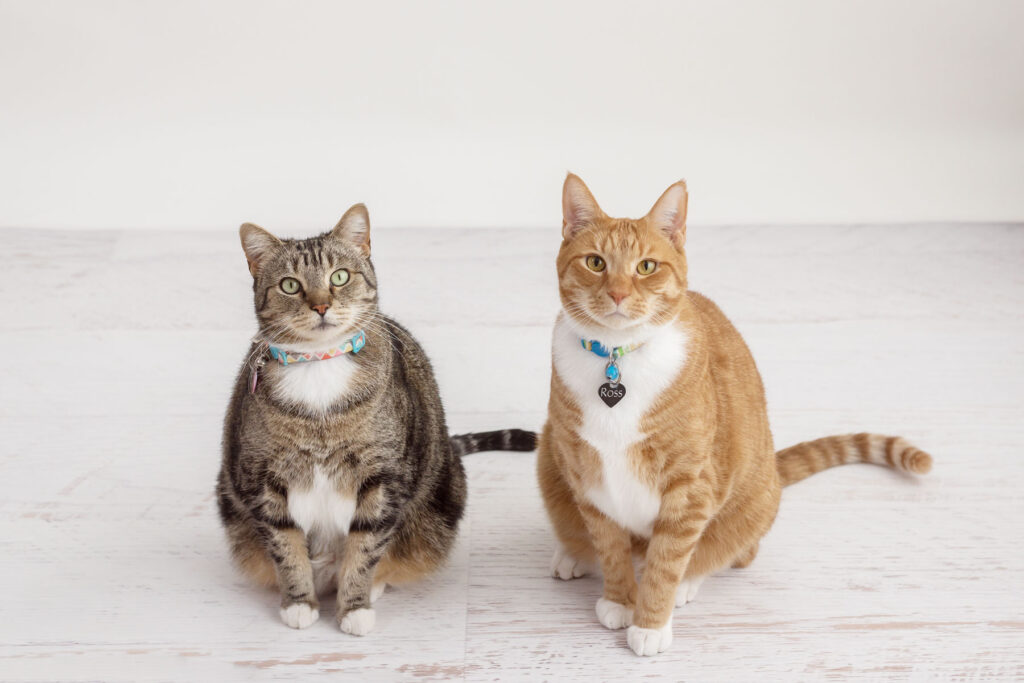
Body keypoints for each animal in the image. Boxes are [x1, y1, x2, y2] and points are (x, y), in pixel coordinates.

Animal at [218, 202, 536, 634]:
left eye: (339, 276)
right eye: (290, 285)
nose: (321, 306)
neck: (319, 366)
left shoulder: (384, 478)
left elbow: (364, 547)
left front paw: (354, 607)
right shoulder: (261, 479)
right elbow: (286, 547)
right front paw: (299, 602)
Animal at [540, 175, 933, 655]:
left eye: (647, 267)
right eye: (596, 263)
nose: (617, 294)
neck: (617, 358)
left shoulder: (690, 486)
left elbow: (666, 560)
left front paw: (650, 622)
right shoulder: (588, 476)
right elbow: (611, 549)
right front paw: (619, 600)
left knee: (731, 552)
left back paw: (688, 581)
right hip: (549, 456)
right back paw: (572, 555)